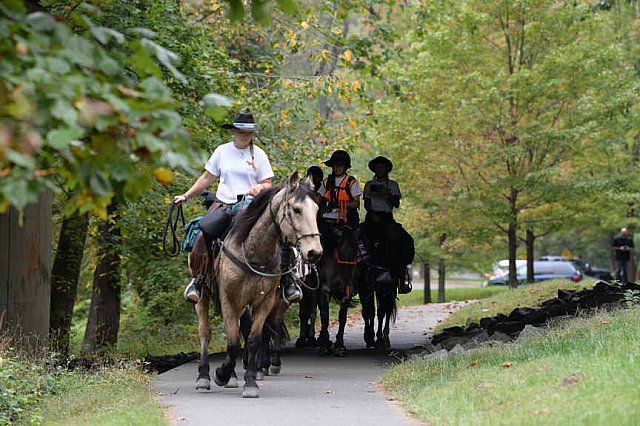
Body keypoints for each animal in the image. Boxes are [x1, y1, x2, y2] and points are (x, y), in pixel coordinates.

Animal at [189, 171, 320, 398]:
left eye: (317, 209)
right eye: (296, 209)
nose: (314, 252)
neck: (252, 251)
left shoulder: (265, 301)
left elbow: (254, 338)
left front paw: (250, 381)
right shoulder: (229, 300)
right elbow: (233, 343)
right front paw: (221, 374)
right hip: (204, 296)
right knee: (205, 332)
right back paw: (204, 377)